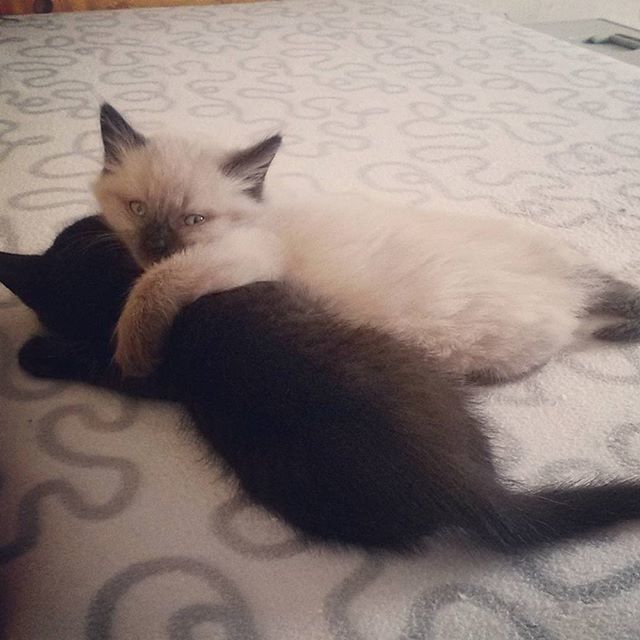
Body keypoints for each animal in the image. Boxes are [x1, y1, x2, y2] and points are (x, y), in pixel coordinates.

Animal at [95, 102, 640, 378]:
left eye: (193, 219)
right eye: (137, 209)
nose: (155, 244)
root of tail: (569, 277)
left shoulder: (241, 258)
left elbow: (154, 287)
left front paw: (134, 356)